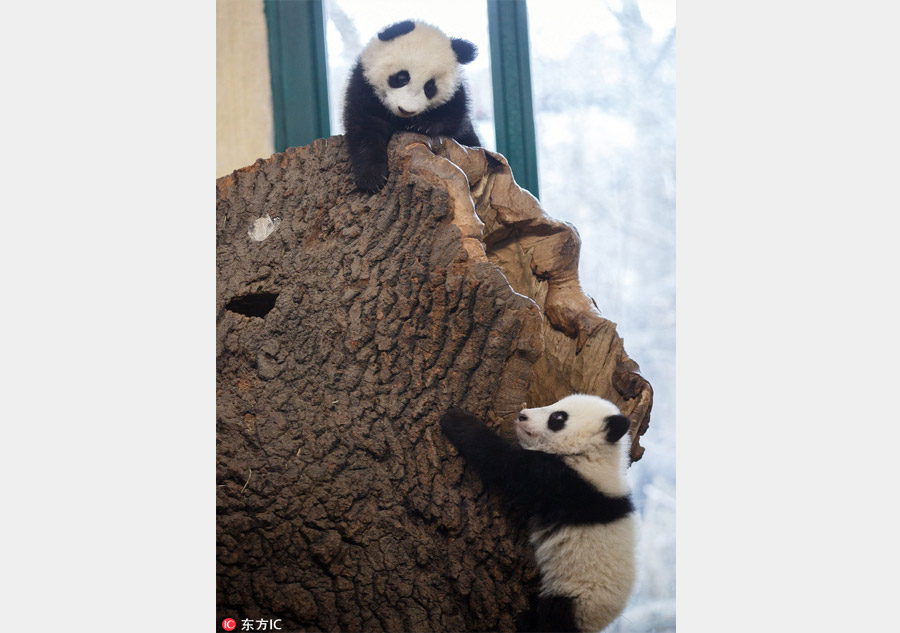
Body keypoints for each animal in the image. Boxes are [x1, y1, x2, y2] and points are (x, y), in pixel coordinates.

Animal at [342, 19, 481, 192]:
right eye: (402, 77)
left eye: (430, 87)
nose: (406, 110)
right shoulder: (364, 87)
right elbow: (365, 127)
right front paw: (371, 178)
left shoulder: (455, 96)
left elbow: (455, 118)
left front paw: (423, 125)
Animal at [439, 394, 637, 633]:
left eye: (558, 417)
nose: (522, 415)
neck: (594, 453)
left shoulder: (565, 483)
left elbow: (509, 466)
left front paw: (457, 419)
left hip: (578, 597)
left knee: (554, 617)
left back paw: (527, 621)